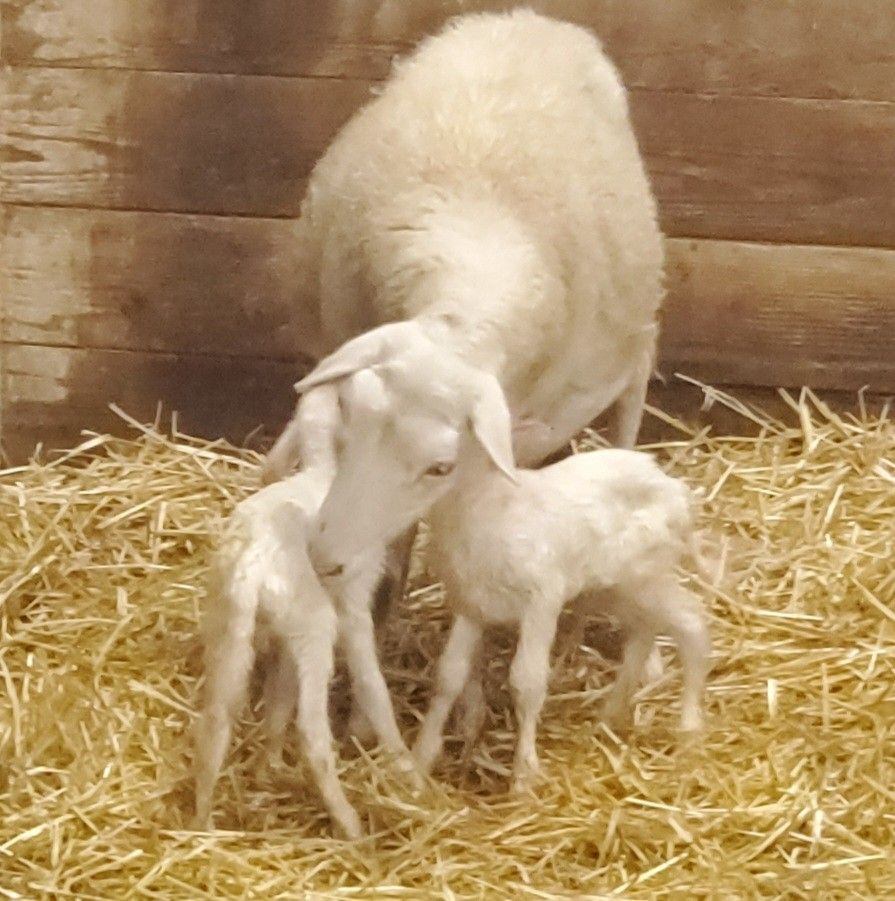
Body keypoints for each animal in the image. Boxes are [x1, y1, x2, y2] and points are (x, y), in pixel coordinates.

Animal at [192, 386, 416, 839]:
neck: (324, 470)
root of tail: (251, 565)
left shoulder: (283, 632)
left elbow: (280, 695)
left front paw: (269, 767)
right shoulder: (350, 599)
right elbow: (370, 681)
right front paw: (403, 761)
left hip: (233, 624)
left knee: (217, 717)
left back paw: (202, 822)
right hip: (314, 622)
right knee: (311, 730)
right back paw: (350, 825)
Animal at [266, 8, 666, 692]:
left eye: (439, 467)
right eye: (348, 426)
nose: (322, 556)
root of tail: (532, 19)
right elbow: (396, 550)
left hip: (631, 338)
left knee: (631, 405)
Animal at [410, 443, 712, 790]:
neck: (486, 504)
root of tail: (676, 491)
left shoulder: (541, 598)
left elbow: (526, 682)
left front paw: (523, 775)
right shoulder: (472, 606)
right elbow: (449, 675)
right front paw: (419, 761)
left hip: (643, 575)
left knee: (690, 621)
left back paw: (688, 729)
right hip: (617, 587)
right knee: (644, 630)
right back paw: (609, 715)